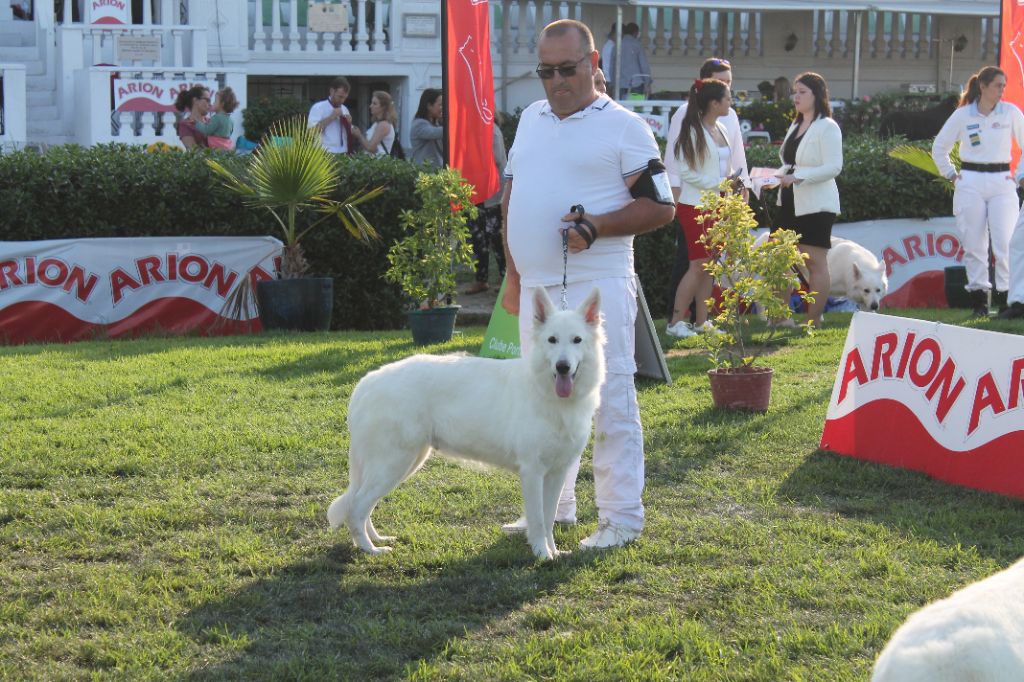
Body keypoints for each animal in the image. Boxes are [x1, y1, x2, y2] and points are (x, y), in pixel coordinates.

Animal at [327, 286, 602, 557]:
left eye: (577, 340)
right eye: (552, 340)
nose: (563, 367)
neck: (549, 394)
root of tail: (366, 383)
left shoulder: (556, 473)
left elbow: (549, 518)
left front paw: (554, 552)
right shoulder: (532, 471)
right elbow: (538, 520)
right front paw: (542, 555)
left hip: (403, 463)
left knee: (363, 505)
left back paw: (376, 539)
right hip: (393, 464)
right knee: (356, 507)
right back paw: (371, 549)